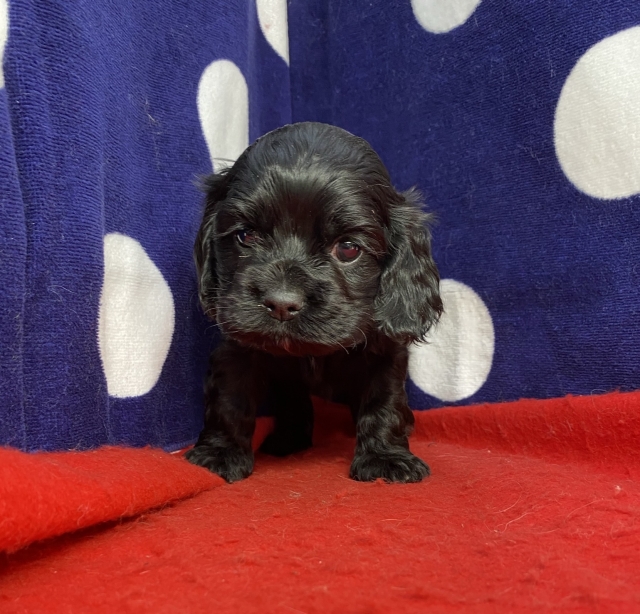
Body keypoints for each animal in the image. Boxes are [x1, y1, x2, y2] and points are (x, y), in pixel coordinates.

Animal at [186, 122, 442, 483]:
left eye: (348, 248)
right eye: (246, 235)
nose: (282, 303)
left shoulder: (386, 353)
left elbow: (385, 403)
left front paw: (386, 459)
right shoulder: (237, 347)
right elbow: (230, 398)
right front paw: (220, 453)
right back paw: (288, 438)